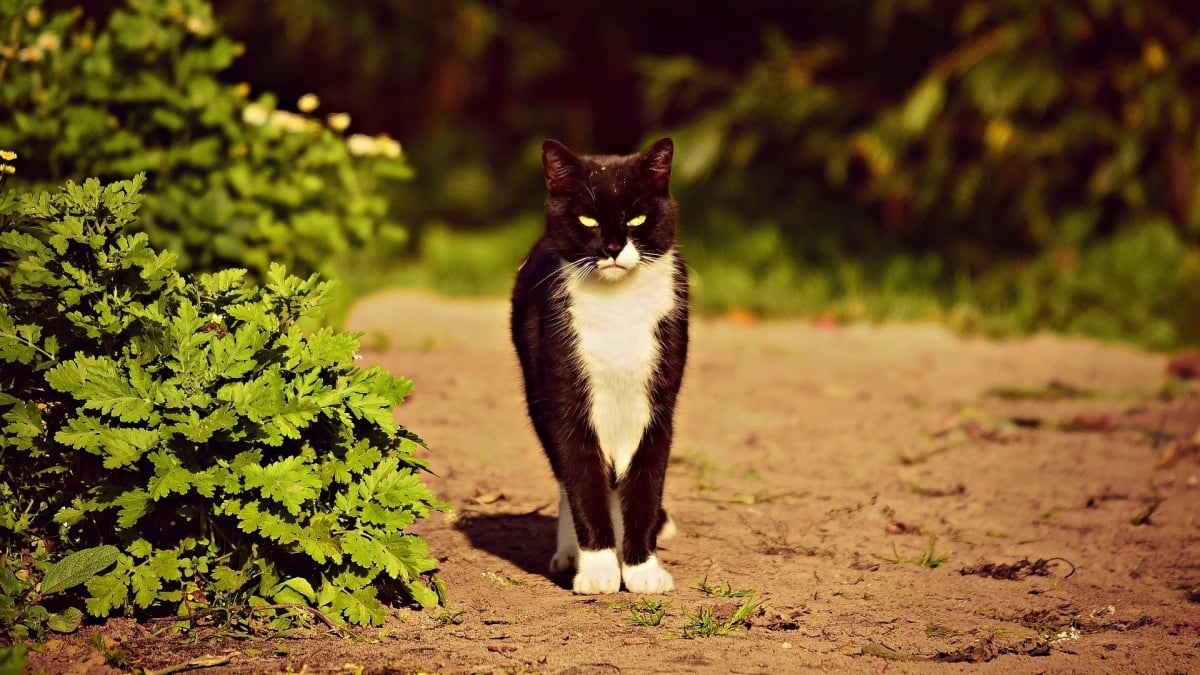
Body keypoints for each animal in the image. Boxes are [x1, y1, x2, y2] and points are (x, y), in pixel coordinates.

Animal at [511, 138, 691, 593]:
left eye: (638, 217)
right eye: (588, 218)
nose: (611, 248)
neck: (617, 308)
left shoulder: (658, 404)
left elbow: (645, 484)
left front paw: (641, 568)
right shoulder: (564, 400)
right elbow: (581, 480)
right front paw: (597, 569)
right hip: (535, 393)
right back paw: (570, 554)